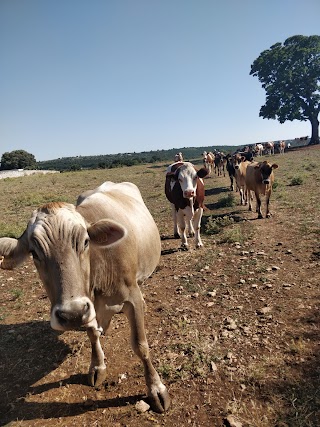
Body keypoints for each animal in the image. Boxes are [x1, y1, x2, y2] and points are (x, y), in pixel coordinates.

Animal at [0, 181, 170, 414]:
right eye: (34, 253)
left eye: (86, 242)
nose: (71, 314)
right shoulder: (88, 308)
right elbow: (92, 334)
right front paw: (97, 366)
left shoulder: (132, 297)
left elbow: (140, 345)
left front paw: (155, 388)